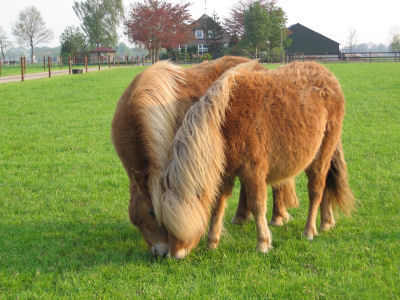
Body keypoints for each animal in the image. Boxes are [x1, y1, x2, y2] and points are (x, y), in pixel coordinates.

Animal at [161, 60, 354, 258]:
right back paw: (325, 222)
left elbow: (257, 205)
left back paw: (309, 230)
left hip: (321, 155)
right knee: (326, 186)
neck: (223, 122)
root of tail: (328, 76)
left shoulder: (253, 171)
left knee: (317, 189)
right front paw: (212, 243)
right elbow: (218, 205)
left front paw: (263, 242)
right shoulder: (225, 174)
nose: (173, 255)